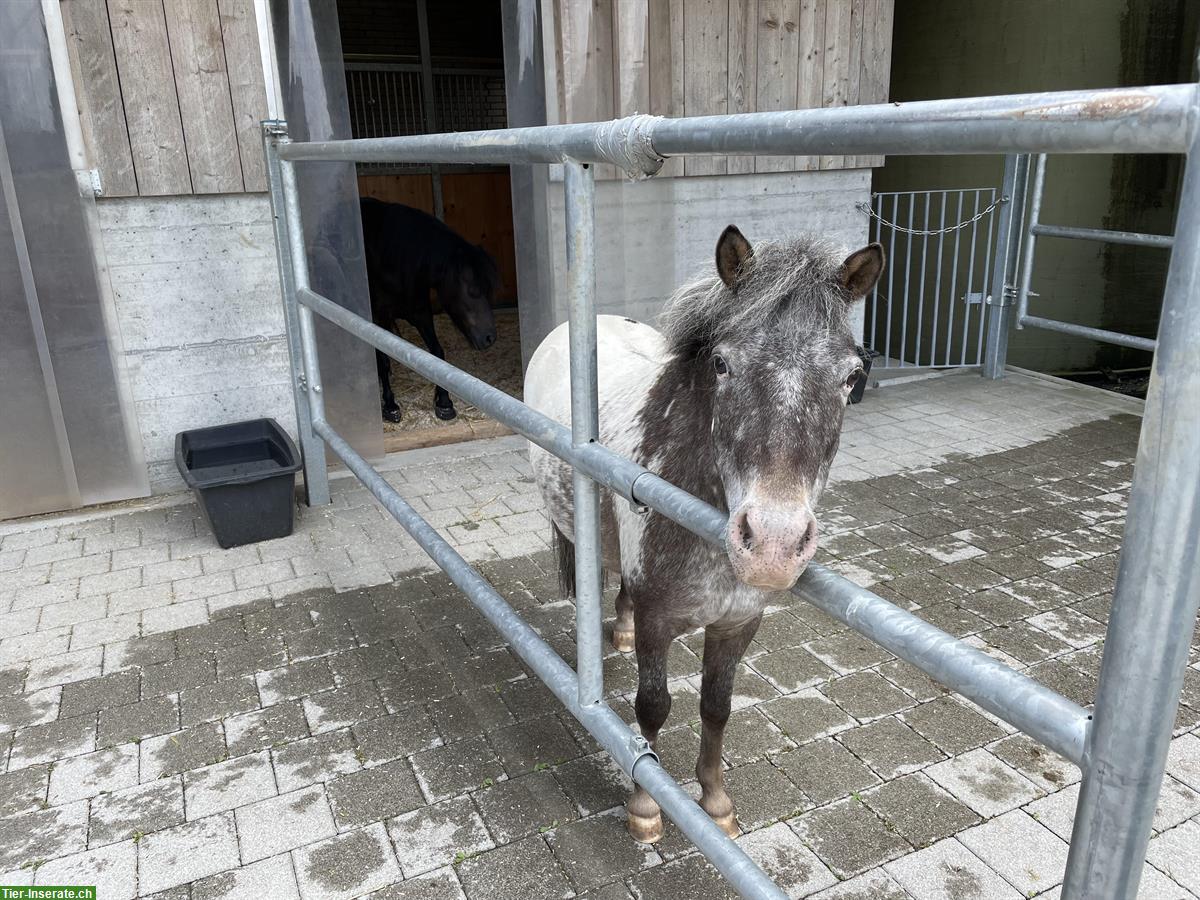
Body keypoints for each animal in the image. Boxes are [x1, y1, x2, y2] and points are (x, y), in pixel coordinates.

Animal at [360, 196, 501, 422]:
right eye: (472, 290)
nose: (490, 338)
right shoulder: (377, 318)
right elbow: (383, 360)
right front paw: (390, 405)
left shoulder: (420, 313)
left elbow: (437, 353)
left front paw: (444, 402)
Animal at [525, 225, 883, 844]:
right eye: (721, 363)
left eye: (851, 376)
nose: (772, 546)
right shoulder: (660, 623)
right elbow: (652, 709)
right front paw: (646, 807)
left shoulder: (738, 623)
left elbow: (717, 707)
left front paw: (715, 802)